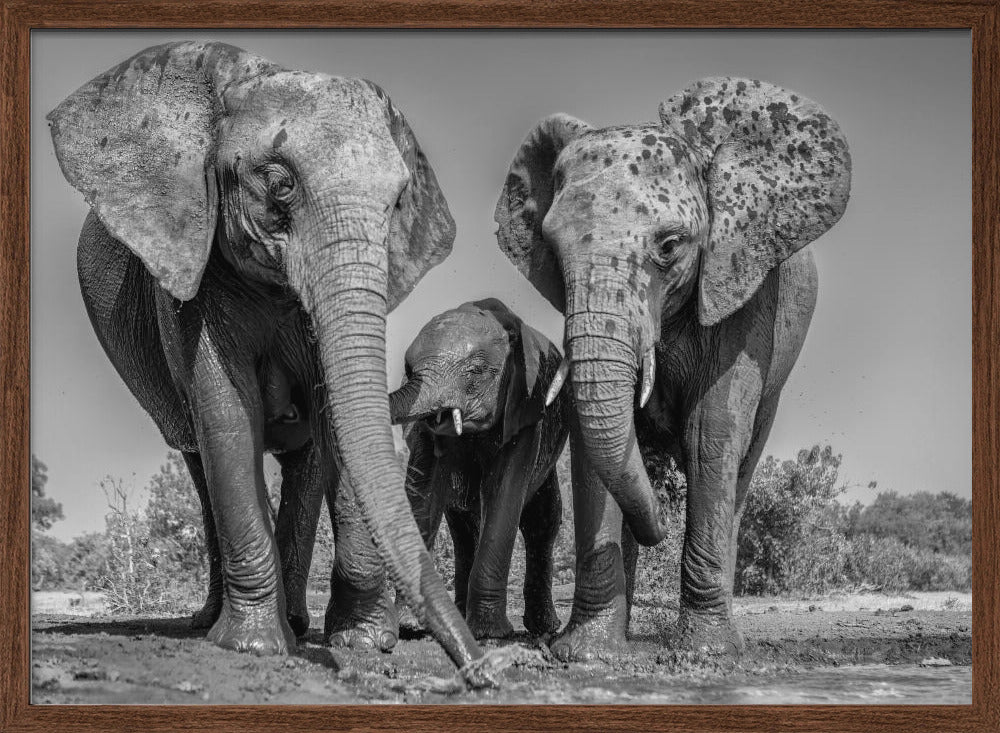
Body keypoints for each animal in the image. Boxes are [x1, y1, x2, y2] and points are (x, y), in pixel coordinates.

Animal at [48, 41, 485, 673]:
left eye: (399, 202)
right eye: (279, 184)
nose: (481, 670)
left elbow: (334, 419)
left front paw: (362, 643)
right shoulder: (190, 271)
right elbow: (229, 415)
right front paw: (251, 647)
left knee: (307, 460)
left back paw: (298, 623)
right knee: (200, 457)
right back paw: (214, 623)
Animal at [388, 299, 569, 640]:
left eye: (475, 371)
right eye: (408, 370)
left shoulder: (524, 409)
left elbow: (503, 495)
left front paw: (490, 633)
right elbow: (424, 496)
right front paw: (409, 625)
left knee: (543, 520)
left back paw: (545, 629)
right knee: (463, 529)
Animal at [494, 77, 851, 661]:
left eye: (670, 246)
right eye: (553, 249)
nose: (657, 528)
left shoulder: (745, 290)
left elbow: (712, 432)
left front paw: (708, 653)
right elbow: (593, 442)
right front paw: (587, 653)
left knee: (740, 468)